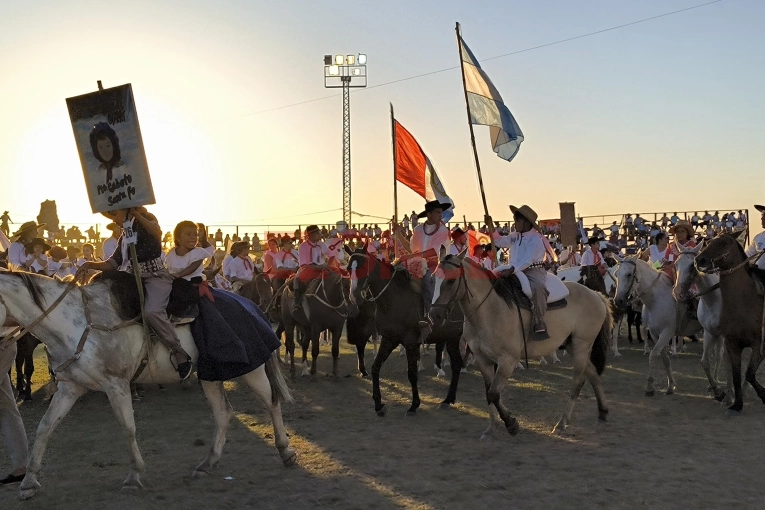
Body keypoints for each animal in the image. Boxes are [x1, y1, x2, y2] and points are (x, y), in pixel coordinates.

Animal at [0, 272, 296, 500]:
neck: (77, 323)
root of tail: (250, 304)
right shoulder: (70, 388)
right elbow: (45, 428)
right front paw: (28, 483)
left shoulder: (116, 385)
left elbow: (128, 428)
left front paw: (134, 476)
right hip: (211, 376)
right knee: (223, 413)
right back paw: (206, 464)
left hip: (252, 369)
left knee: (272, 402)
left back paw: (285, 451)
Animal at [616, 256, 700, 396]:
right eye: (616, 274)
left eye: (629, 274)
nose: (618, 301)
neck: (657, 299)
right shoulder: (655, 333)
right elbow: (665, 358)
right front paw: (670, 386)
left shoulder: (667, 332)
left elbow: (653, 354)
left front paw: (650, 387)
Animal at [672, 239, 732, 402]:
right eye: (676, 263)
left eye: (692, 265)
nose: (678, 293)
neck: (714, 299)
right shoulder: (709, 332)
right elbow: (705, 362)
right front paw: (716, 390)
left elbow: (726, 360)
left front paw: (729, 393)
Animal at [692, 233, 764, 416]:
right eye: (710, 241)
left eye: (723, 242)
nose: (699, 260)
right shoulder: (732, 344)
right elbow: (737, 375)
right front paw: (737, 404)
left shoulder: (758, 344)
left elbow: (749, 374)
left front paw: (763, 395)